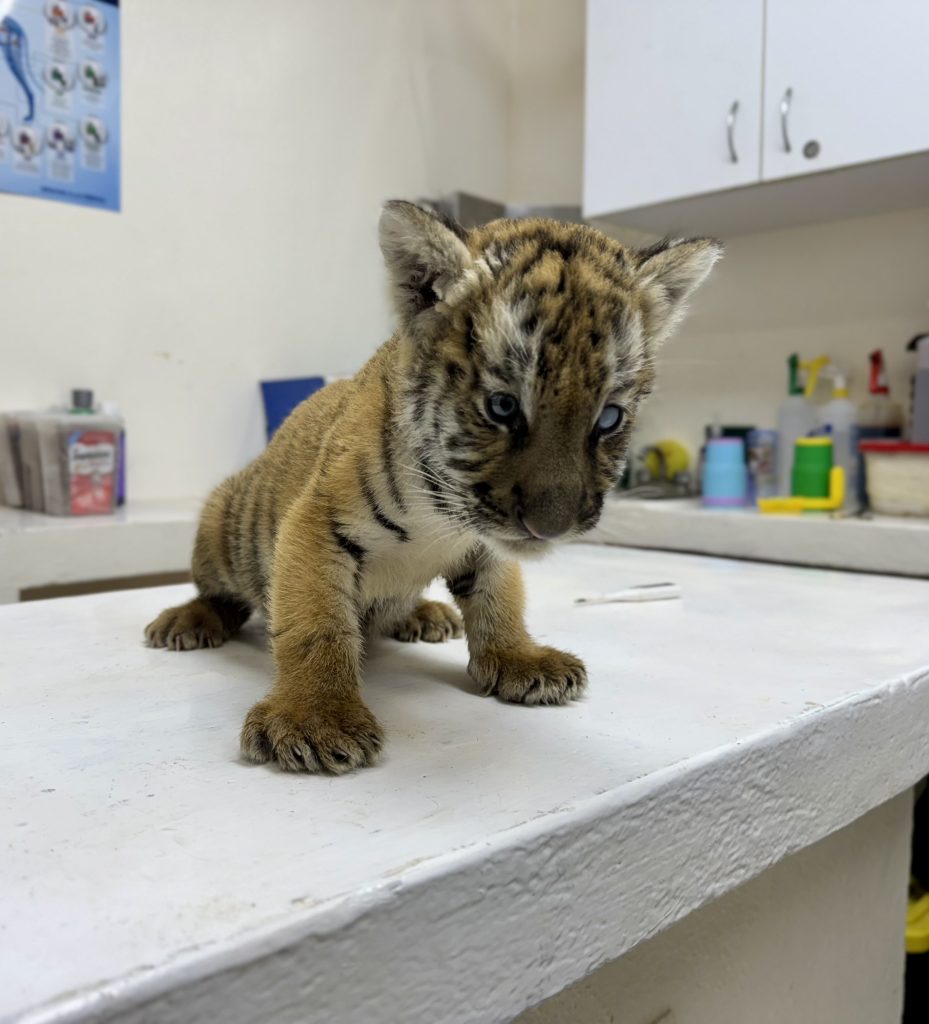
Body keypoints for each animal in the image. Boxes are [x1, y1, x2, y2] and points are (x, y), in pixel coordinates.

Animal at [145, 201, 721, 774]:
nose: (551, 527)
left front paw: (518, 658)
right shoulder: (315, 524)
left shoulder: (487, 544)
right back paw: (188, 622)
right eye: (502, 407)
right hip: (220, 525)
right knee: (218, 593)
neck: (442, 514)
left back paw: (426, 613)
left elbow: (499, 597)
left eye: (608, 418)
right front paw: (315, 718)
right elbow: (316, 620)